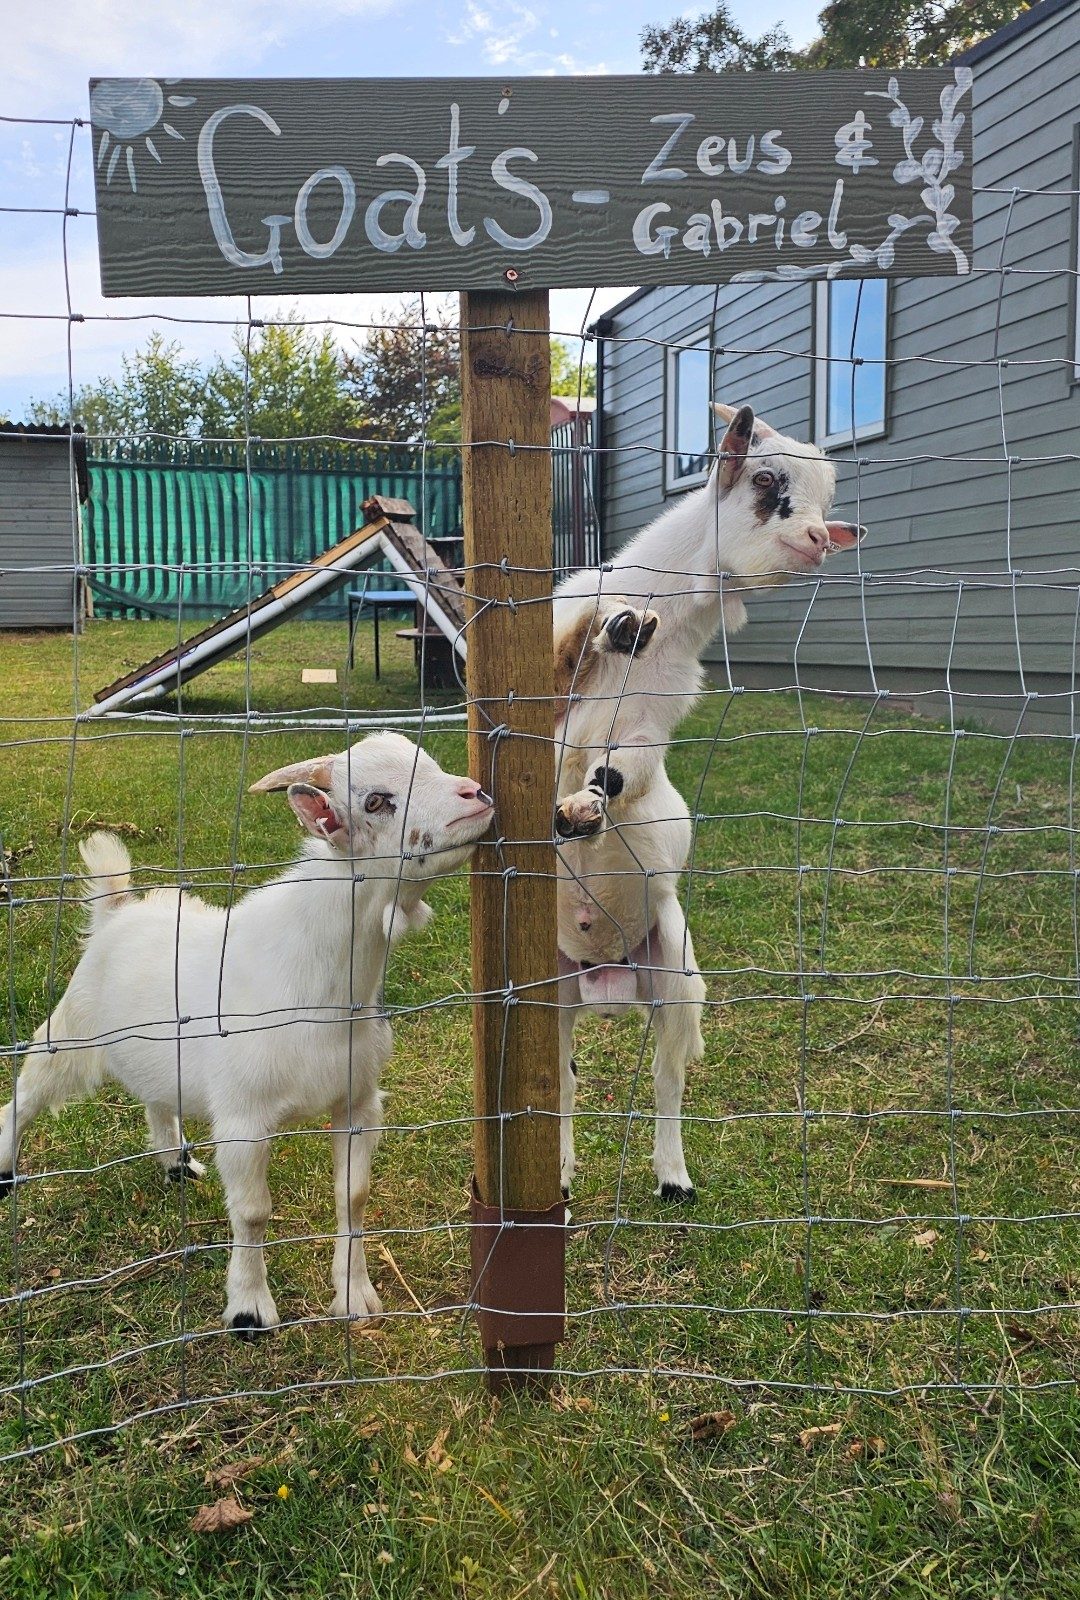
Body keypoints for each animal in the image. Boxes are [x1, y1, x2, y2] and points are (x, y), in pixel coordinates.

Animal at [0, 733, 493, 1336]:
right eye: (376, 800)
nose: (475, 794)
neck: (320, 979)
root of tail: (116, 912)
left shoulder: (358, 1101)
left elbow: (352, 1196)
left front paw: (355, 1298)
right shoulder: (242, 1120)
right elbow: (254, 1212)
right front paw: (249, 1311)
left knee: (156, 1100)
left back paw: (176, 1163)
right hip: (70, 1033)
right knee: (25, 1094)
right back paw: (5, 1165)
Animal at [550, 403, 865, 1199]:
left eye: (826, 499)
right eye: (766, 480)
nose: (820, 539)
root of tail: (604, 976)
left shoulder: (643, 732)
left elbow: (616, 777)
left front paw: (584, 811)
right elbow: (573, 648)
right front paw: (617, 626)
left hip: (674, 976)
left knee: (665, 1078)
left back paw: (672, 1176)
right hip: (547, 991)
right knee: (560, 1081)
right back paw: (561, 1175)